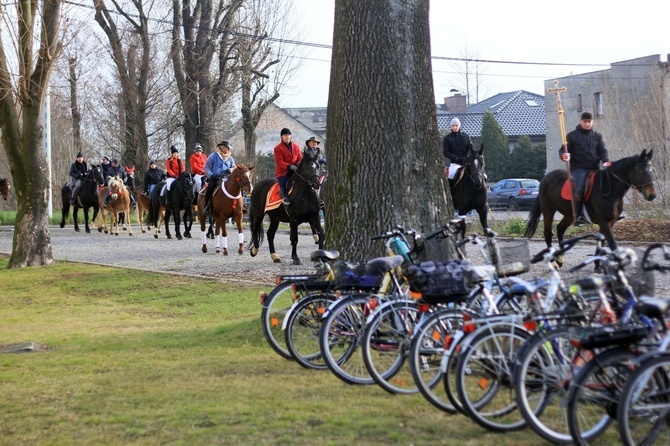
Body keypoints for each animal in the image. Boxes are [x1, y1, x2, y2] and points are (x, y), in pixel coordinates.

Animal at [524, 150, 656, 262]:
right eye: (642, 172)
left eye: (652, 171)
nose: (652, 195)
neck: (610, 188)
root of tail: (545, 178)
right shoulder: (603, 222)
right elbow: (612, 244)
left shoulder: (610, 222)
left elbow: (602, 243)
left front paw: (598, 266)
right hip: (548, 210)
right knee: (548, 233)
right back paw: (553, 260)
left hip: (569, 215)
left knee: (560, 229)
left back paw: (560, 258)